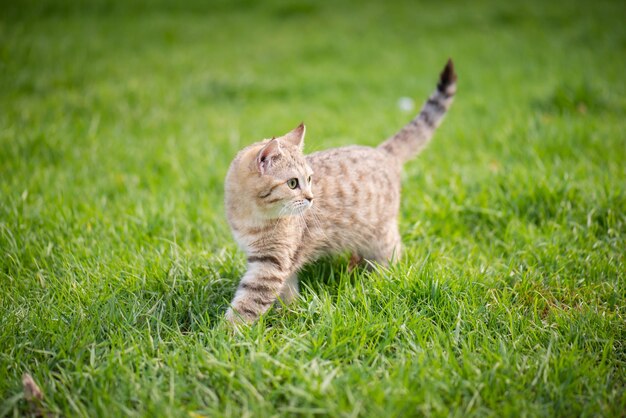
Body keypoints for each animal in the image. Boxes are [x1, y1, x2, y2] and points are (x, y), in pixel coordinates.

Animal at [223, 58, 454, 322]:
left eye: (309, 179)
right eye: (293, 183)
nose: (311, 198)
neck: (251, 216)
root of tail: (382, 152)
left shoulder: (270, 263)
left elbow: (247, 304)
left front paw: (227, 331)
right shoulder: (279, 260)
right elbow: (287, 290)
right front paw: (289, 311)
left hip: (380, 235)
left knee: (392, 254)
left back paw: (382, 279)